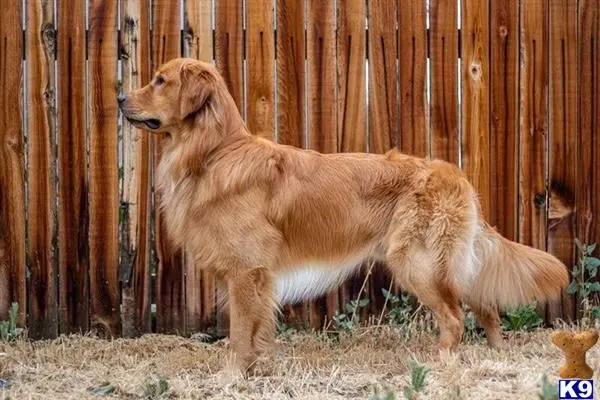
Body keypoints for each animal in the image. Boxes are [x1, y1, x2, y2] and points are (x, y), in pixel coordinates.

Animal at [118, 57, 572, 376]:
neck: (214, 153)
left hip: (419, 263)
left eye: (160, 80)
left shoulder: (247, 272)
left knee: (456, 318)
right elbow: (259, 332)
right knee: (487, 309)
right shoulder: (256, 278)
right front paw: (259, 370)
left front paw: (231, 377)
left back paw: (441, 363)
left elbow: (239, 336)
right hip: (449, 264)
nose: (119, 97)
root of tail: (454, 173)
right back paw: (495, 359)